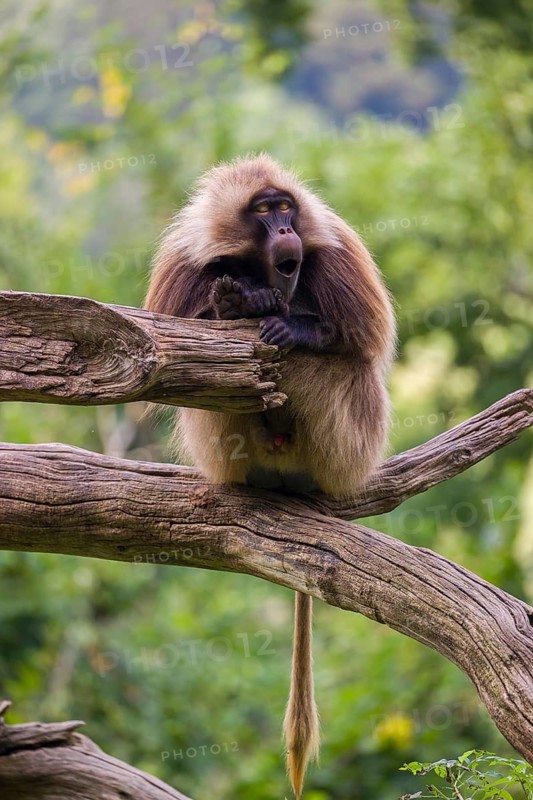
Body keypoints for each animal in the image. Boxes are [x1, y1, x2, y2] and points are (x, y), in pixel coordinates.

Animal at [145, 154, 395, 799]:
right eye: (263, 212)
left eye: (286, 208)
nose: (285, 229)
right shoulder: (185, 260)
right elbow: (166, 349)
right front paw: (240, 298)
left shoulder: (335, 249)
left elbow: (365, 339)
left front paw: (282, 319)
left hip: (347, 453)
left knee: (325, 364)